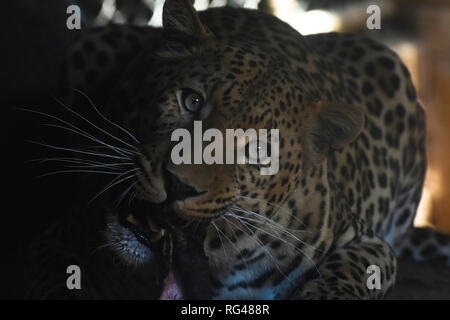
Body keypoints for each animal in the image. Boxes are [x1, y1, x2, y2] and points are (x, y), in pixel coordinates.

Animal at [25, 0, 450, 300]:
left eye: (258, 152)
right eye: (191, 101)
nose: (178, 186)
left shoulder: (368, 244)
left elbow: (344, 276)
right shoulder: (55, 246)